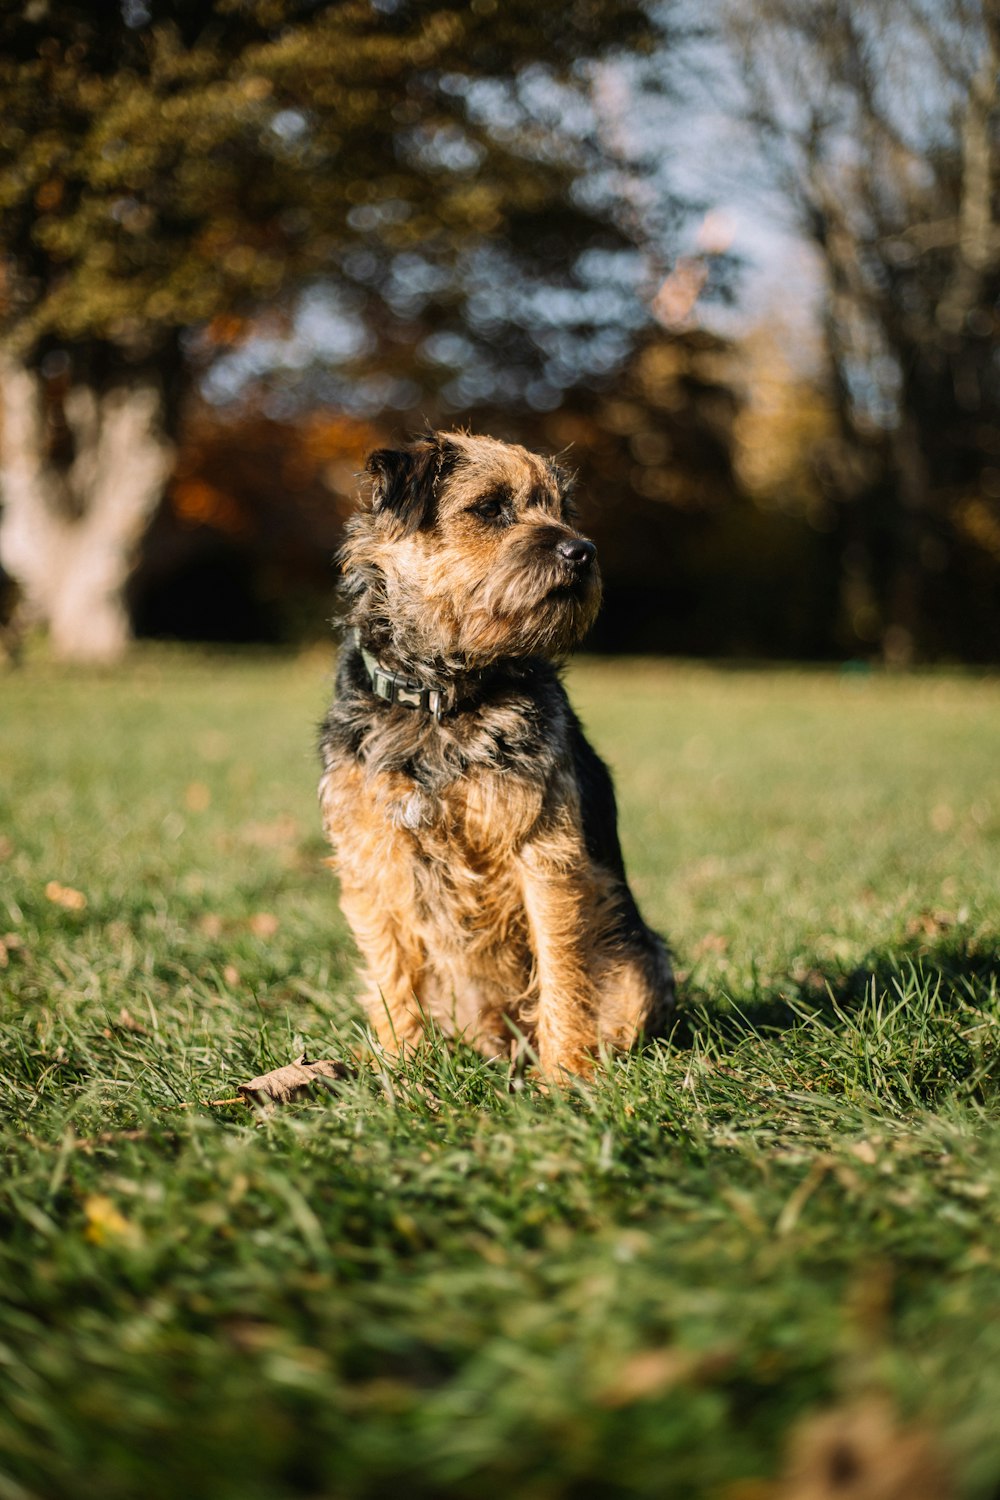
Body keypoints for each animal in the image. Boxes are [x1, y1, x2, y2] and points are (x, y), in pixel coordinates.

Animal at [319, 429, 671, 1074]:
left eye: (562, 509)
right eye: (489, 508)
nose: (583, 551)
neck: (442, 699)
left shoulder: (544, 849)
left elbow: (561, 966)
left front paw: (565, 1076)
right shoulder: (371, 857)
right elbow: (390, 971)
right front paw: (402, 1071)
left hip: (639, 963)